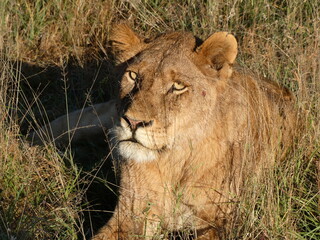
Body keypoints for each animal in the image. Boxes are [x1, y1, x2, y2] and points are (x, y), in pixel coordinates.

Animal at [28, 23, 296, 238]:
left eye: (177, 86)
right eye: (133, 75)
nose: (133, 122)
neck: (174, 162)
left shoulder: (220, 222)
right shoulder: (132, 216)